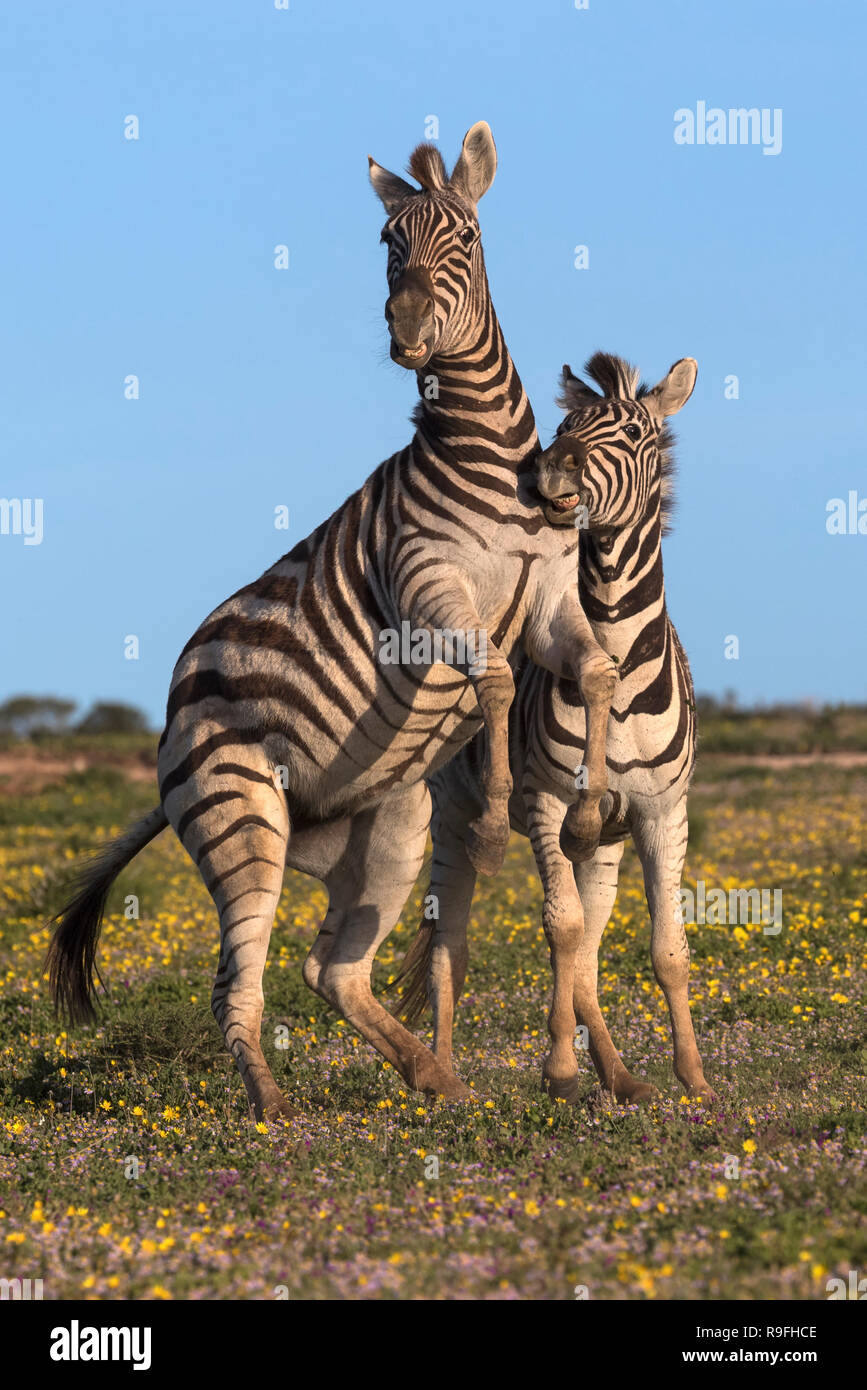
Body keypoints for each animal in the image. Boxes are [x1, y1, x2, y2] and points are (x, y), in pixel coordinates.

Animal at [47, 125, 617, 1121]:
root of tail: (172, 710)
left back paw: (435, 1076)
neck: (491, 460)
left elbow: (590, 673)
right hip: (243, 819)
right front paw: (498, 817)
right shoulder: (425, 592)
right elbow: (496, 678)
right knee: (236, 982)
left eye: (465, 239)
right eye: (387, 244)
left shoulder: (549, 604)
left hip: (386, 827)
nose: (407, 332)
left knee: (331, 970)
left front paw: (584, 812)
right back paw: (271, 1104)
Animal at [394, 352, 717, 1106]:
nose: (548, 468)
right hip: (454, 816)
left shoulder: (662, 812)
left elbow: (667, 948)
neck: (617, 667)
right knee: (451, 946)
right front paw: (560, 1068)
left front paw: (692, 1078)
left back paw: (618, 1075)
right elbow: (560, 928)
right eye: (565, 426)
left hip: (604, 843)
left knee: (590, 952)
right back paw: (448, 1077)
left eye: (636, 434)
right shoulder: (545, 802)